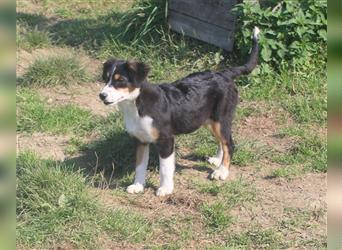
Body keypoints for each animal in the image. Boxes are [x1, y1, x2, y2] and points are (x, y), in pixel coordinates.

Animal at [100, 26, 260, 196]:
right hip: (210, 120)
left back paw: (222, 171)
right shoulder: (140, 140)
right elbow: (140, 165)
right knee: (222, 142)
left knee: (229, 143)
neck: (136, 105)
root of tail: (223, 73)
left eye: (120, 80)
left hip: (220, 119)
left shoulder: (166, 140)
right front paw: (137, 185)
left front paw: (165, 189)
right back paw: (218, 160)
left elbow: (165, 169)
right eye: (106, 78)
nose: (101, 95)